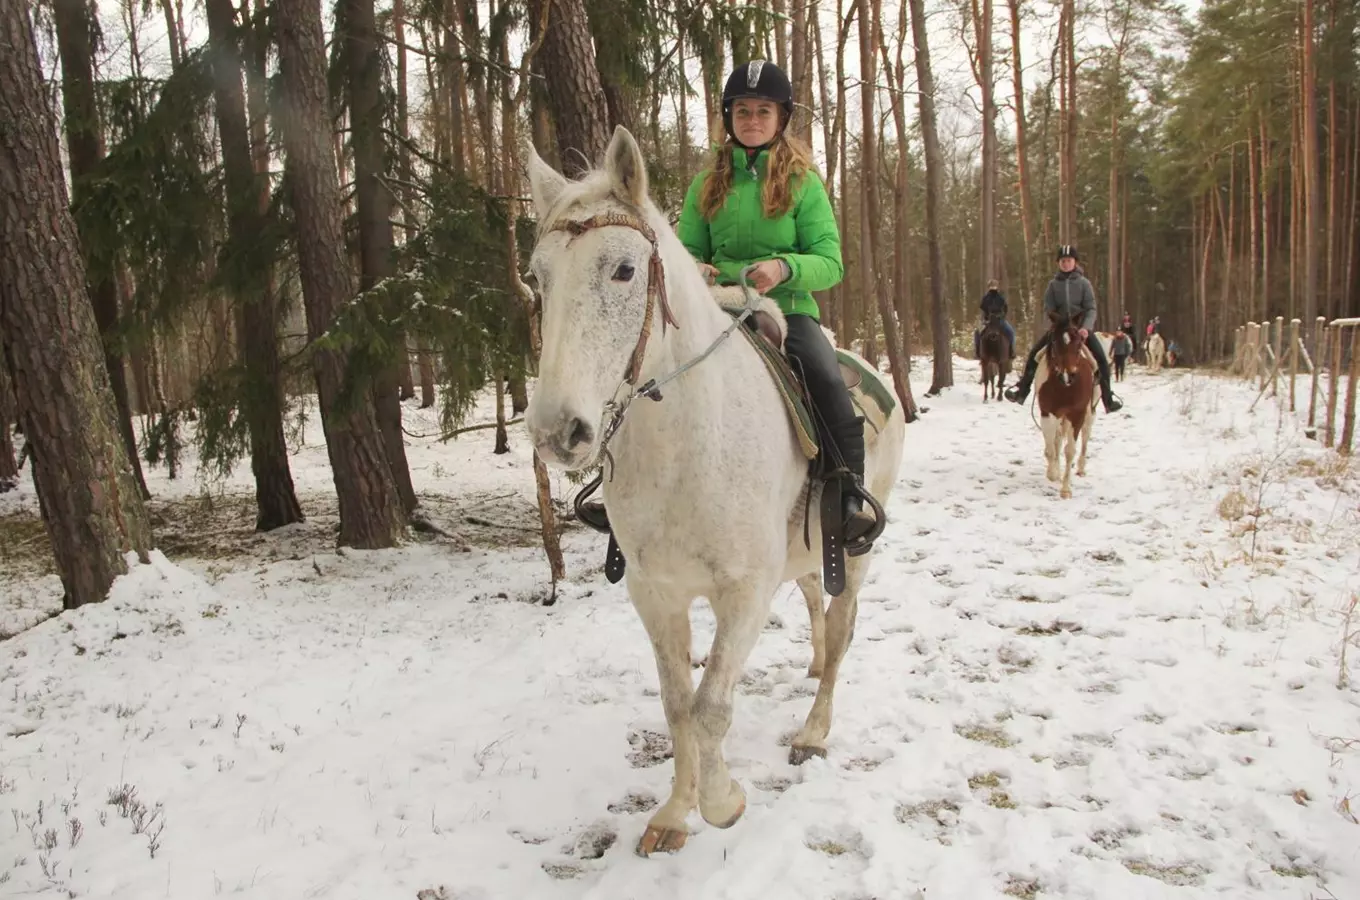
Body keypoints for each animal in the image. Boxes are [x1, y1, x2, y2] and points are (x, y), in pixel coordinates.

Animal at [524, 128, 908, 859]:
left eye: (624, 270)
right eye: (538, 277)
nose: (558, 432)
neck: (688, 446)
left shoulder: (744, 592)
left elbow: (711, 706)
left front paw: (722, 801)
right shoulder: (656, 593)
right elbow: (678, 705)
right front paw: (675, 815)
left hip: (856, 553)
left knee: (843, 624)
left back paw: (813, 731)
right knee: (815, 601)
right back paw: (813, 667)